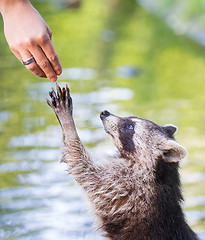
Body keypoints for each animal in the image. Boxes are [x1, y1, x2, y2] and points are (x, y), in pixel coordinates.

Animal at [46, 84, 199, 240]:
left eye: (130, 126)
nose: (104, 113)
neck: (159, 172)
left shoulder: (126, 184)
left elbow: (83, 168)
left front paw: (67, 124)